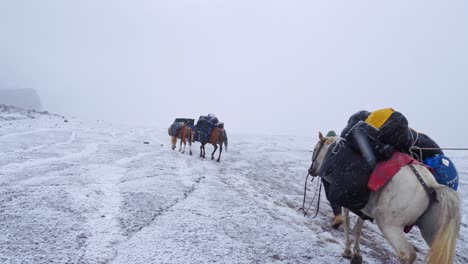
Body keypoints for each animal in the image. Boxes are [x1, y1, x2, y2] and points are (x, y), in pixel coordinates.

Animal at [308, 132, 458, 264]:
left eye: (315, 149)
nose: (311, 170)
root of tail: (431, 185)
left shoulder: (348, 203)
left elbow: (347, 223)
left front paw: (347, 251)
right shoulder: (363, 209)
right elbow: (357, 228)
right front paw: (356, 255)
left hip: (389, 225)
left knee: (407, 254)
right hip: (433, 233)